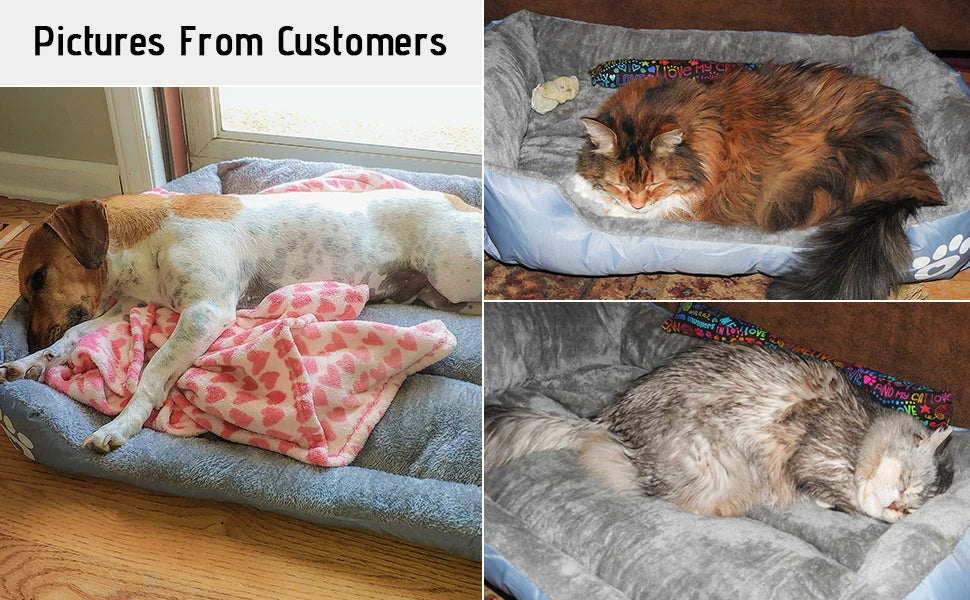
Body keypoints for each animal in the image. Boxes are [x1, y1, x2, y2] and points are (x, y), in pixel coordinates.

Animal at [0, 188, 482, 450]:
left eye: (39, 277)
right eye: (25, 291)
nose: (28, 341)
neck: (146, 242)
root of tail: (467, 205)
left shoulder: (204, 312)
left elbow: (153, 372)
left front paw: (121, 424)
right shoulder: (126, 307)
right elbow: (74, 336)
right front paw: (32, 361)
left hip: (453, 271)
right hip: (437, 290)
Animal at [480, 344, 948, 524]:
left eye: (911, 509)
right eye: (907, 482)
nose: (897, 507)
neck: (867, 426)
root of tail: (607, 418)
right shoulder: (815, 451)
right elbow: (834, 489)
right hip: (712, 458)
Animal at [572, 61, 940, 300]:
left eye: (653, 185)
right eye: (622, 184)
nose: (636, 202)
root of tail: (911, 158)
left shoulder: (694, 201)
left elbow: (650, 209)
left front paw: (598, 201)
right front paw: (581, 186)